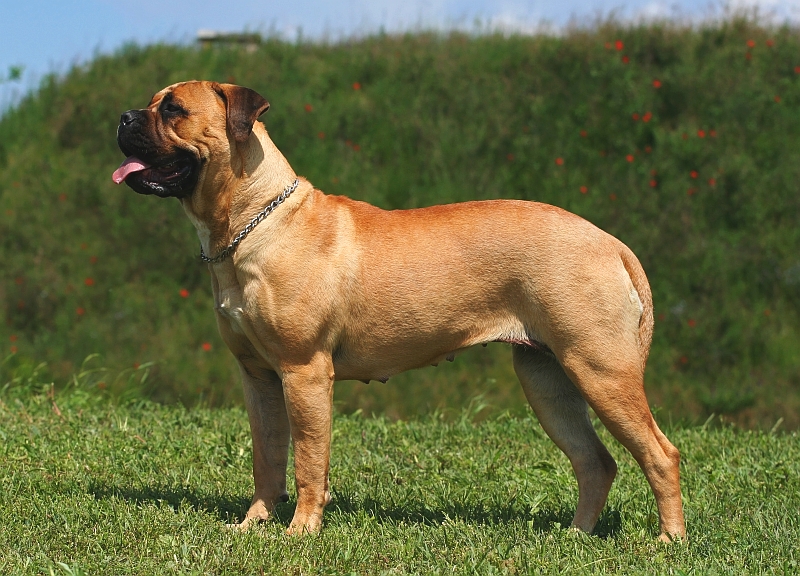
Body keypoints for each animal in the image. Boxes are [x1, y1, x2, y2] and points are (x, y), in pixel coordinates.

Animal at [112, 80, 688, 540]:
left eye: (173, 109)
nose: (123, 117)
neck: (254, 221)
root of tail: (608, 242)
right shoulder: (258, 377)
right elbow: (267, 457)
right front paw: (254, 524)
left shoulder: (304, 372)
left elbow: (308, 460)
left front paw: (299, 532)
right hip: (548, 380)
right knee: (595, 462)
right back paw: (575, 536)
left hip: (600, 369)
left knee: (660, 454)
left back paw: (667, 541)